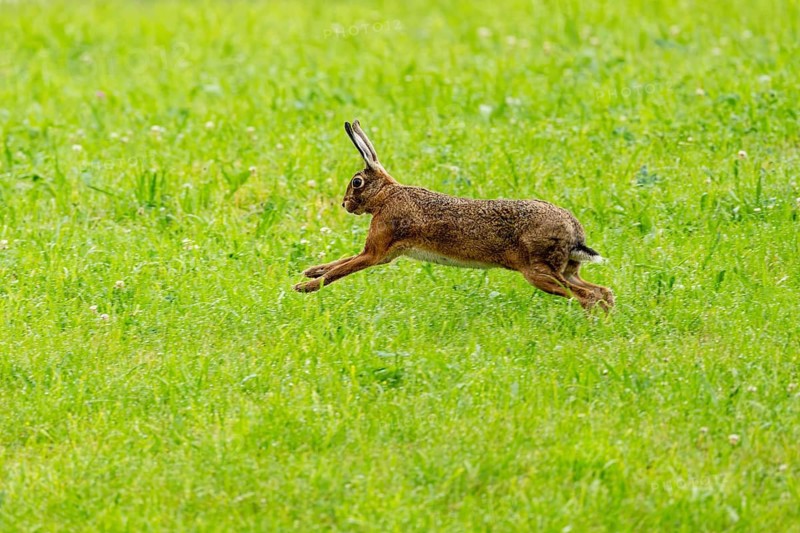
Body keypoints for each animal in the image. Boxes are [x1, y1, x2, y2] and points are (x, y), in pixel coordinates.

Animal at [294, 120, 614, 311]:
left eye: (357, 182)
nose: (345, 204)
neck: (386, 196)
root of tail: (574, 234)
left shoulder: (375, 252)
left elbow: (341, 270)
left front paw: (304, 287)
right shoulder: (382, 252)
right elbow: (339, 262)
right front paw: (311, 271)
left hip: (538, 271)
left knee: (587, 297)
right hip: (566, 270)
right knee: (602, 291)